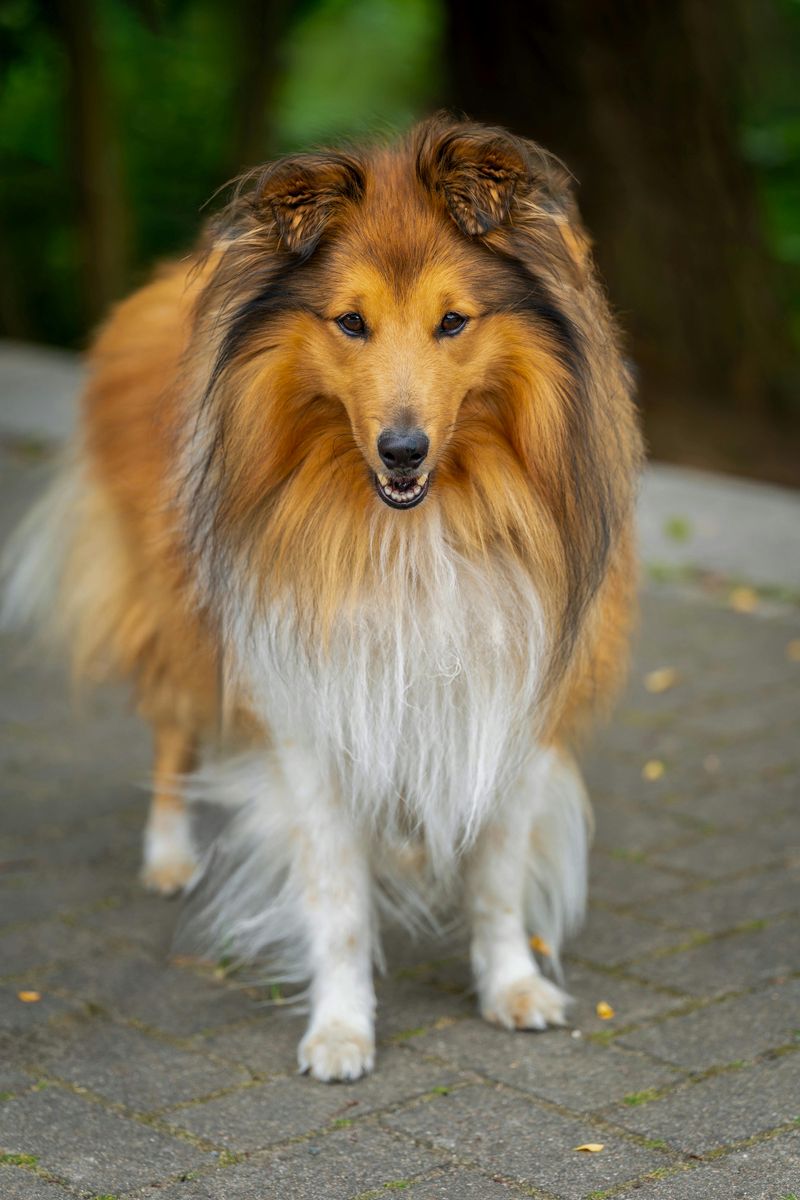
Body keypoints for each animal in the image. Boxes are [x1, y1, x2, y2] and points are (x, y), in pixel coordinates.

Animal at [1, 117, 638, 1084]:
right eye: (350, 322)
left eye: (454, 321)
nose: (404, 451)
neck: (418, 525)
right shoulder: (310, 709)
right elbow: (337, 900)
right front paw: (341, 1030)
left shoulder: (514, 698)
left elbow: (496, 876)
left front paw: (511, 986)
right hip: (179, 613)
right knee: (171, 727)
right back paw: (169, 854)